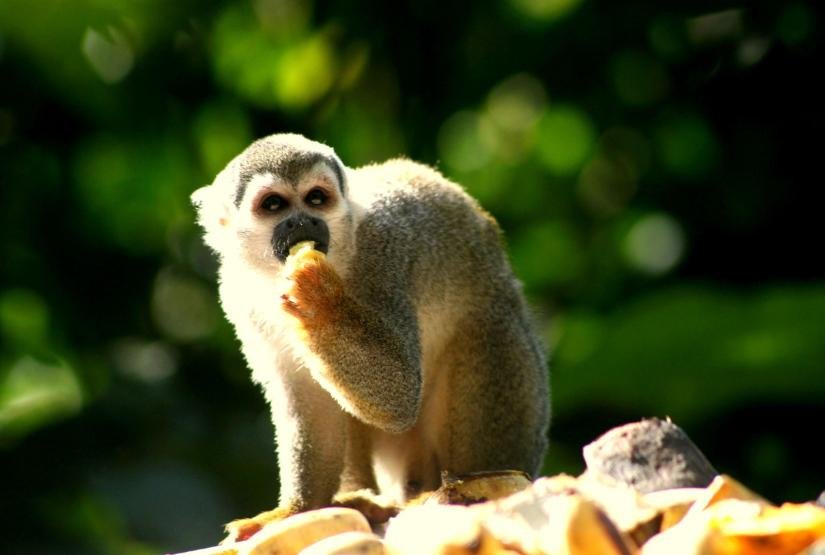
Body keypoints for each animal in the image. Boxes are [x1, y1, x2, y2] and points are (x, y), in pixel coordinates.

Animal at [191, 133, 550, 539]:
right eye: (273, 205)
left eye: (316, 198)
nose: (303, 220)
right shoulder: (238, 299)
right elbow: (308, 396)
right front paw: (299, 509)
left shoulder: (383, 252)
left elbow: (399, 395)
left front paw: (320, 301)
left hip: (508, 346)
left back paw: (469, 487)